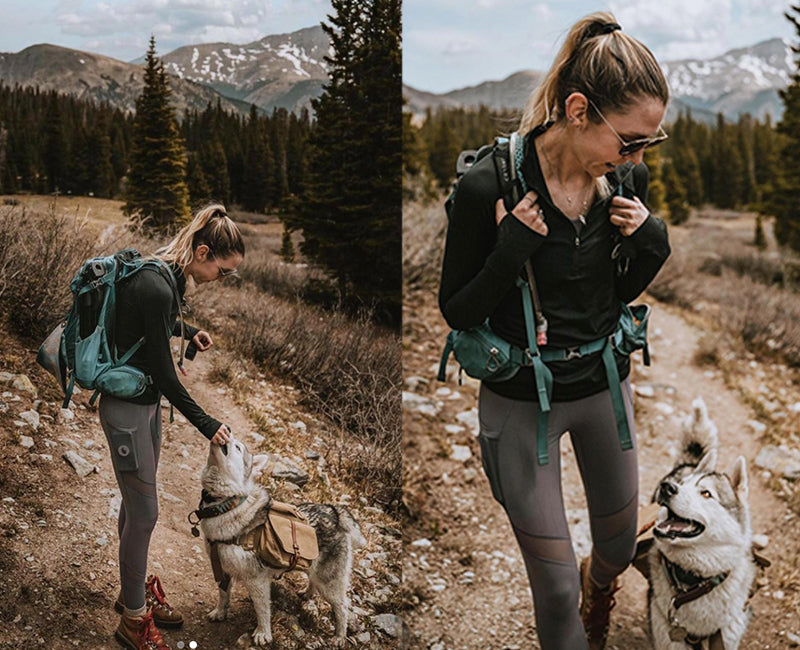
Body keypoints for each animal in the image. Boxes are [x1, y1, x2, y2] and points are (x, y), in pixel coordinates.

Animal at [198, 436, 368, 644]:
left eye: (237, 447)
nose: (225, 431)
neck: (228, 505)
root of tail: (334, 512)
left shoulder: (257, 580)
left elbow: (262, 609)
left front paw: (263, 633)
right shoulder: (222, 569)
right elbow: (223, 595)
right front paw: (220, 612)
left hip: (329, 584)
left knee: (343, 607)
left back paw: (339, 636)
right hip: (314, 570)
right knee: (314, 582)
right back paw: (307, 593)